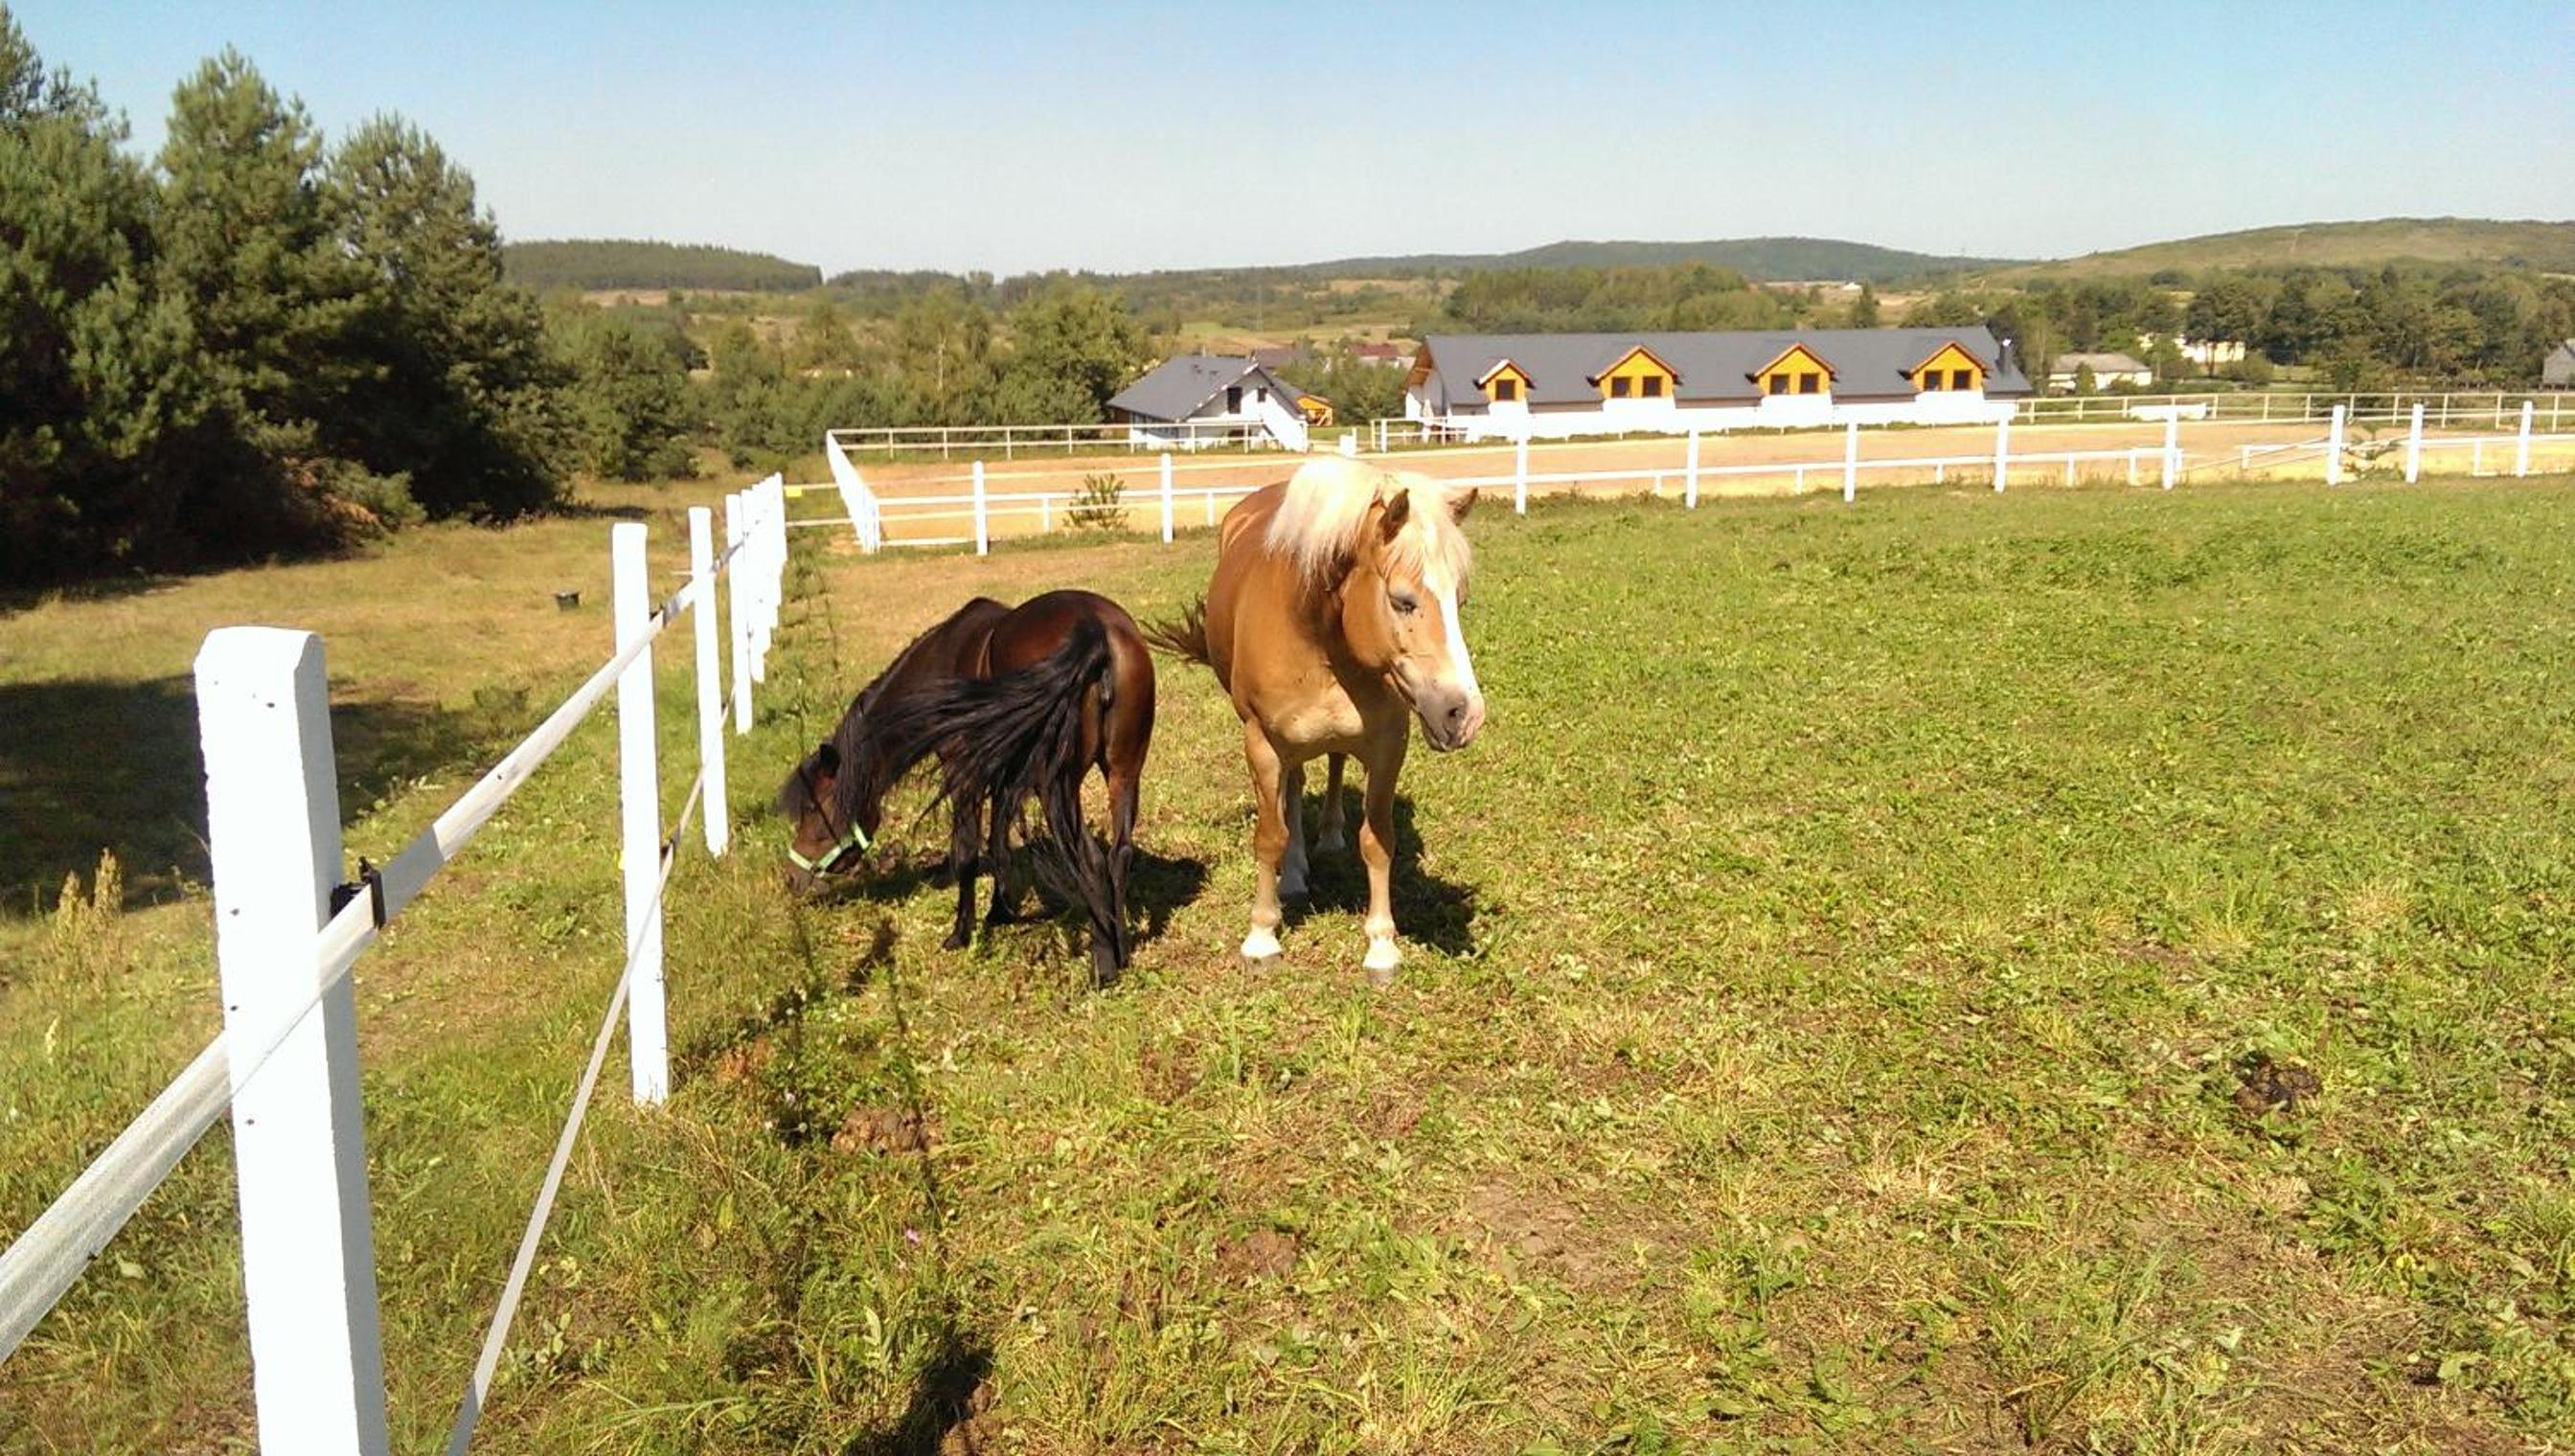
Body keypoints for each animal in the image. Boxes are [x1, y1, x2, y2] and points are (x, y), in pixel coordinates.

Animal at [776, 590, 1156, 979]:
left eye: (813, 808)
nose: (791, 878)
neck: (939, 664)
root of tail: (1095, 632)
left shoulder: (963, 775)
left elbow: (966, 853)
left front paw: (961, 933)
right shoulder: (1004, 772)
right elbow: (997, 840)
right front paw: (1000, 911)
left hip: (1057, 789)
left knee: (1092, 861)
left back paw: (1103, 965)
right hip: (1123, 773)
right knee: (1120, 854)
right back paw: (1122, 949)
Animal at [1150, 456, 1484, 982]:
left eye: (1460, 600)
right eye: (1403, 600)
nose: (1464, 714)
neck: (1318, 634)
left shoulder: (1388, 744)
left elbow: (1377, 839)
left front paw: (1381, 945)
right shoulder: (1262, 744)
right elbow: (1270, 835)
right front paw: (1262, 936)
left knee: (1332, 763)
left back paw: (1327, 837)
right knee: (1292, 788)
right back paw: (1294, 872)